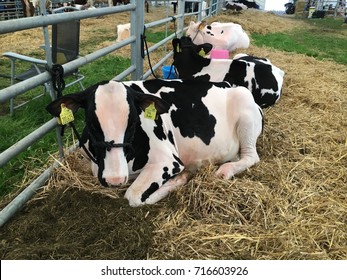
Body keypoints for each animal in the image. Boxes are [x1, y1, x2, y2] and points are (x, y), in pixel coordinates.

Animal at [47, 79, 264, 206]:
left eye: (134, 122)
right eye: (91, 123)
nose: (115, 179)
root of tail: (227, 83)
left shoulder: (168, 161)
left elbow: (134, 196)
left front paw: (179, 179)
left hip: (246, 111)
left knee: (251, 156)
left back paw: (225, 170)